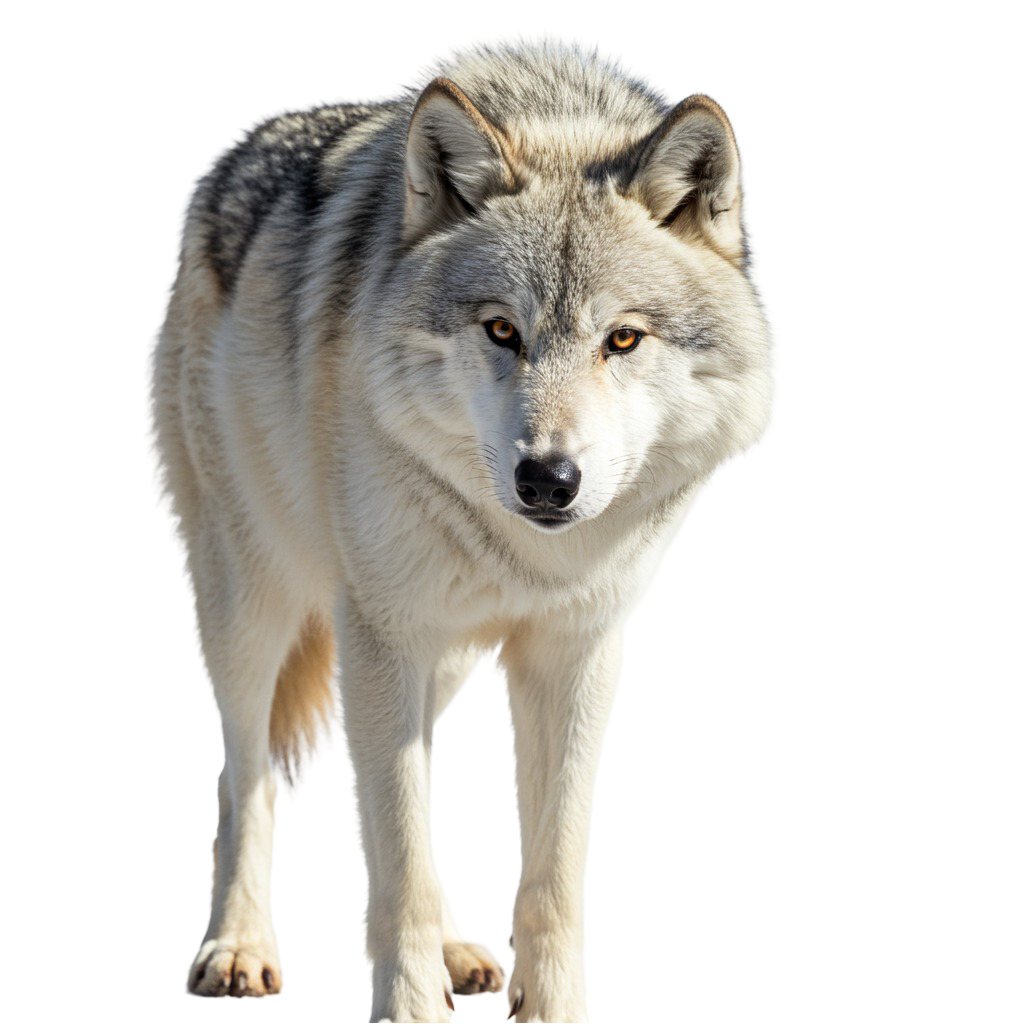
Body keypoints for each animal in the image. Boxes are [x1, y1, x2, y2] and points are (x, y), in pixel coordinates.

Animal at [144, 29, 781, 1021]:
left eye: (623, 340)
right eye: (501, 331)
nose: (548, 479)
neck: (527, 556)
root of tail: (231, 151)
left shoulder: (576, 650)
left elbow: (550, 874)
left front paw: (553, 1012)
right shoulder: (386, 634)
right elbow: (394, 861)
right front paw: (407, 1011)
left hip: (426, 659)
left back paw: (456, 952)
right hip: (253, 609)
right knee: (243, 776)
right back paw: (239, 950)